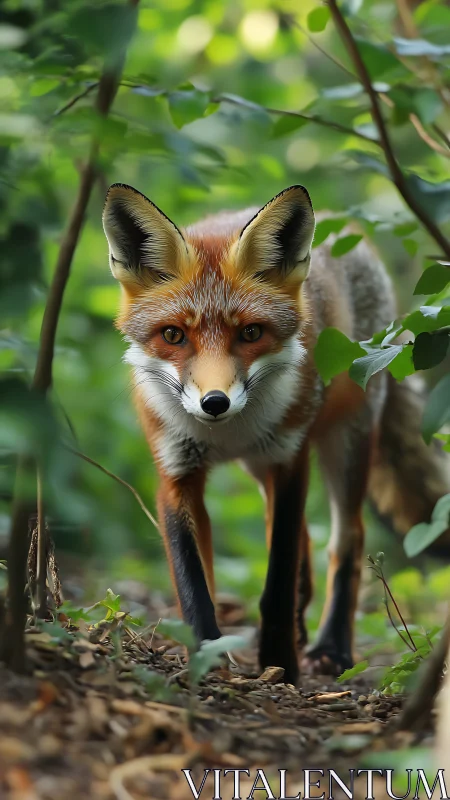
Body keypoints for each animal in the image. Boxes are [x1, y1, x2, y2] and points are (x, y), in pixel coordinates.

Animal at [102, 183, 449, 684]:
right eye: (173, 335)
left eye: (251, 333)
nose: (214, 403)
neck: (227, 435)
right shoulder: (177, 472)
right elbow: (194, 584)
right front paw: (207, 656)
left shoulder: (289, 459)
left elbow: (278, 579)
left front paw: (280, 662)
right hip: (260, 466)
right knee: (305, 539)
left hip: (345, 440)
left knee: (348, 539)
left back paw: (331, 648)